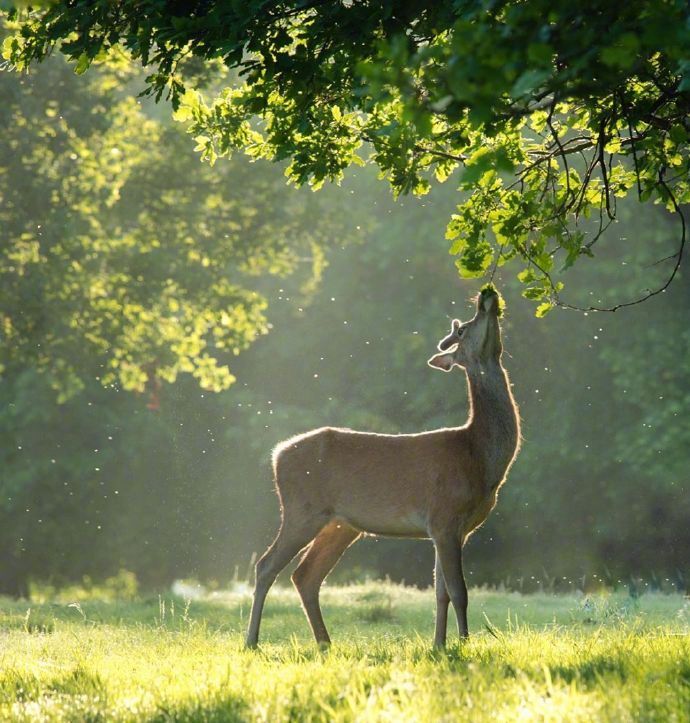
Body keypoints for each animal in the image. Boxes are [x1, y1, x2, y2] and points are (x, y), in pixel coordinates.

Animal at [245, 287, 521, 648]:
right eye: (463, 329)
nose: (486, 296)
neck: (479, 457)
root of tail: (277, 455)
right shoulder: (445, 516)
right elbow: (460, 591)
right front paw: (463, 643)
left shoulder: (450, 529)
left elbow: (442, 593)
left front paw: (439, 645)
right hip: (301, 509)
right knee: (266, 565)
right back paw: (252, 641)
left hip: (340, 524)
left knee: (305, 575)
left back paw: (325, 643)